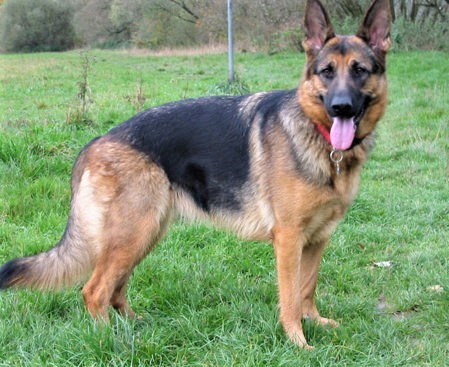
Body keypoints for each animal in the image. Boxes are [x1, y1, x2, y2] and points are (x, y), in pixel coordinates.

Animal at [0, 0, 388, 348]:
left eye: (359, 70)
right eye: (326, 72)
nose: (340, 107)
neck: (319, 137)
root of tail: (95, 142)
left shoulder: (318, 238)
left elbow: (307, 287)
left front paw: (315, 322)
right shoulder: (289, 239)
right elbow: (291, 296)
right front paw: (299, 343)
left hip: (145, 233)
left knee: (116, 289)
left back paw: (135, 326)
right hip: (133, 233)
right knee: (95, 291)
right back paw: (111, 340)